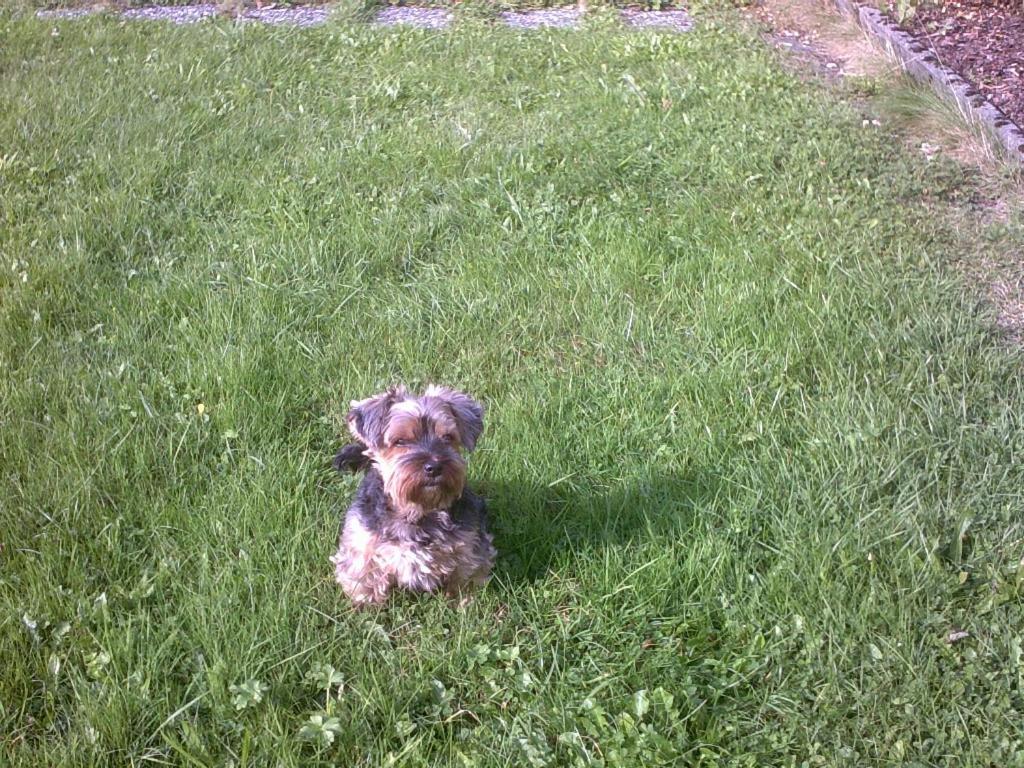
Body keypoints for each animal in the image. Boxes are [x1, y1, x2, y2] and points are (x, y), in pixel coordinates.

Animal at [329, 385, 493, 606]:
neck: (417, 511)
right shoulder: (362, 540)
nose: (434, 466)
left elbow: (466, 575)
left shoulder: (470, 543)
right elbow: (362, 576)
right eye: (400, 441)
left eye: (448, 437)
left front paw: (462, 601)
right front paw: (366, 605)